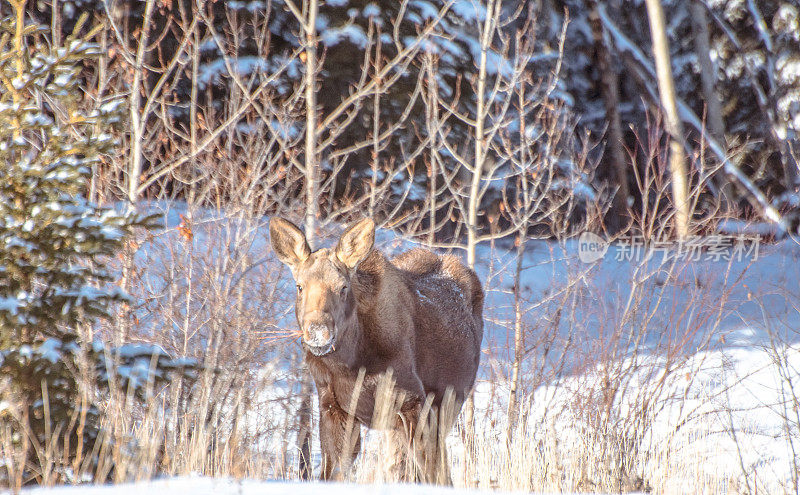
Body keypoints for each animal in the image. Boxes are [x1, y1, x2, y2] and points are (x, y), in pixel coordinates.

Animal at [268, 217, 484, 484]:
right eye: (299, 286)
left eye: (343, 287)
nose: (318, 332)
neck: (349, 365)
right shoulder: (334, 407)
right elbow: (333, 472)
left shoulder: (414, 402)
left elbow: (437, 474)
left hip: (449, 405)